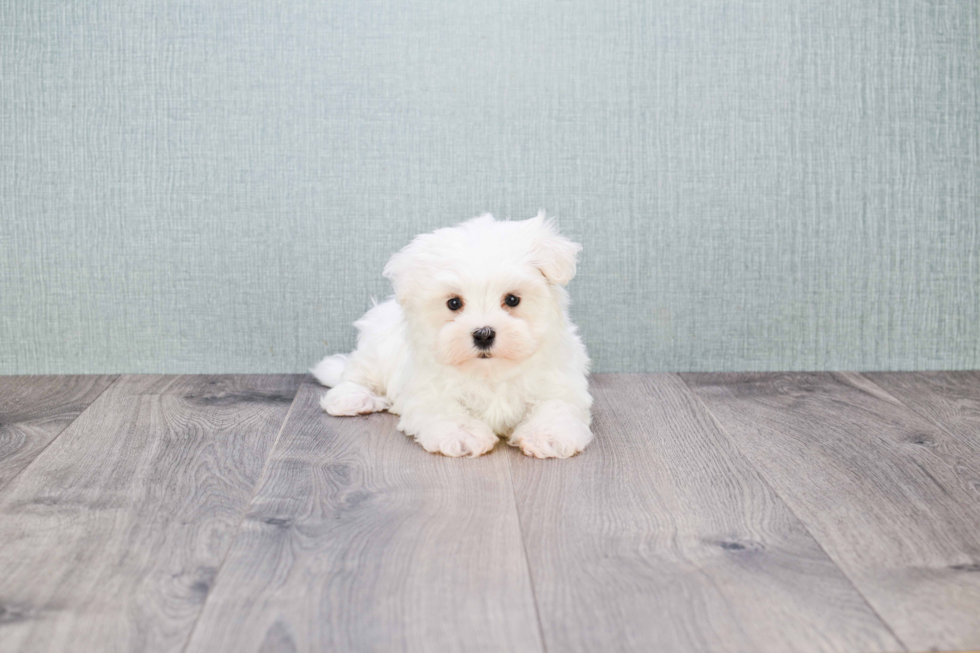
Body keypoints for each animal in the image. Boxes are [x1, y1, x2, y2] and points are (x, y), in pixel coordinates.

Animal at [312, 211, 588, 456]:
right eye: (454, 303)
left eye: (512, 299)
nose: (484, 334)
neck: (490, 373)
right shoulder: (426, 389)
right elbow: (444, 409)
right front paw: (463, 435)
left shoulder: (560, 382)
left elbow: (556, 405)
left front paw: (548, 436)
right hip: (374, 349)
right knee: (357, 375)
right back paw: (353, 399)